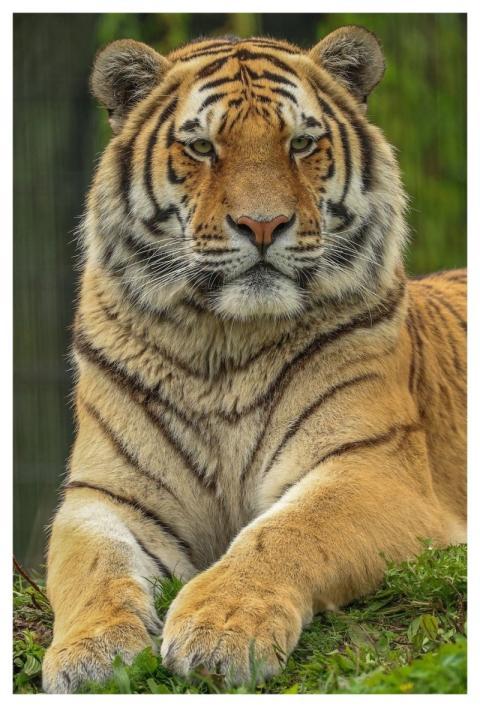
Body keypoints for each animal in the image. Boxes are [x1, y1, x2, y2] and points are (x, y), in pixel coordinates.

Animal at [42, 26, 466, 693]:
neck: (224, 344)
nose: (262, 225)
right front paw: (91, 654)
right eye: (201, 147)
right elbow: (92, 568)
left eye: (302, 143)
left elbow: (287, 533)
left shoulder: (371, 465)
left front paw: (220, 632)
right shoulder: (106, 494)